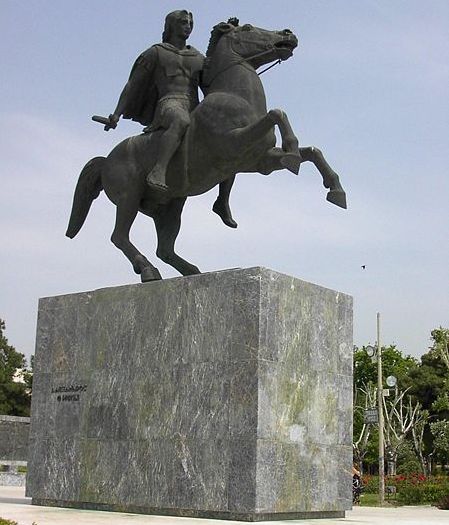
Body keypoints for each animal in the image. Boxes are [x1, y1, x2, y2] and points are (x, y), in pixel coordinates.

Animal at [66, 20, 346, 280]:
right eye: (247, 27)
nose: (288, 34)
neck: (238, 98)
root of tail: (106, 160)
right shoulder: (234, 143)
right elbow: (277, 113)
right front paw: (293, 153)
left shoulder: (259, 162)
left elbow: (313, 151)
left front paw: (334, 189)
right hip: (129, 197)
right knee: (119, 236)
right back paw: (147, 270)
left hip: (170, 206)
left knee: (164, 248)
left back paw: (191, 270)